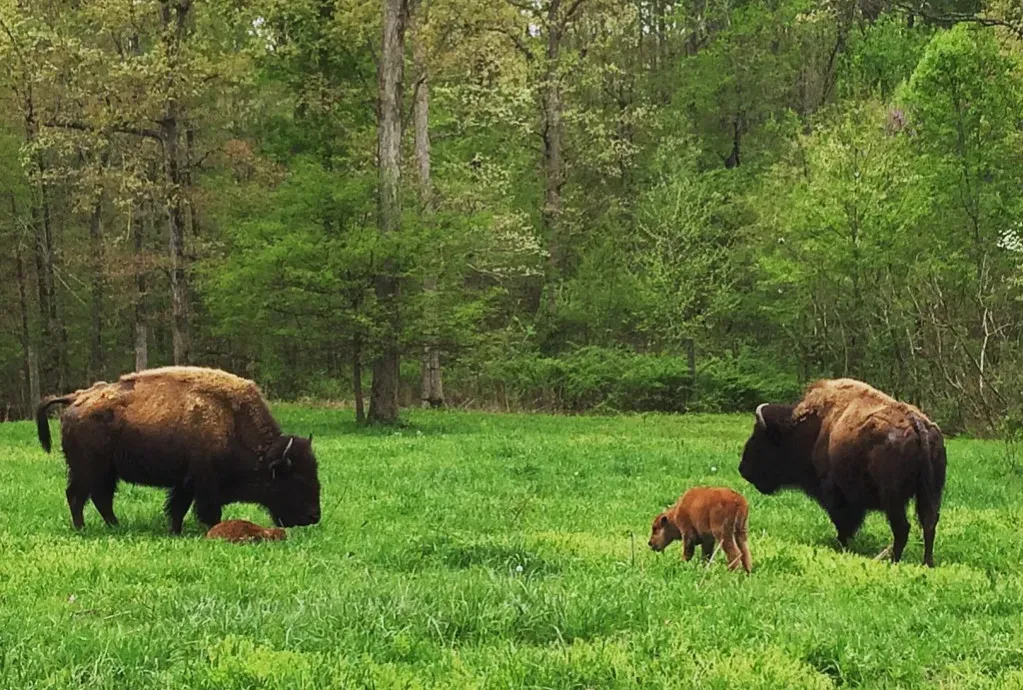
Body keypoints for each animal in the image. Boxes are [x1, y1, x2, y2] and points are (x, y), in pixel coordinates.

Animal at [36, 366, 321, 534]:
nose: (313, 516)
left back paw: (116, 526)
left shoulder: (184, 484)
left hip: (105, 473)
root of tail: (76, 398)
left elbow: (177, 508)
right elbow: (207, 511)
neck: (231, 423)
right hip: (87, 470)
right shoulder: (204, 485)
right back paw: (82, 529)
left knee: (100, 498)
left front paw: (175, 530)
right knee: (78, 496)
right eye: (295, 478)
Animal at [738, 378, 946, 567]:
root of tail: (917, 422)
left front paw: (843, 546)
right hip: (930, 493)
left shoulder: (835, 494)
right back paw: (927, 562)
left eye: (758, 437)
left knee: (902, 528)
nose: (742, 468)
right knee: (929, 523)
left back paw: (893, 561)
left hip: (893, 499)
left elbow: (843, 523)